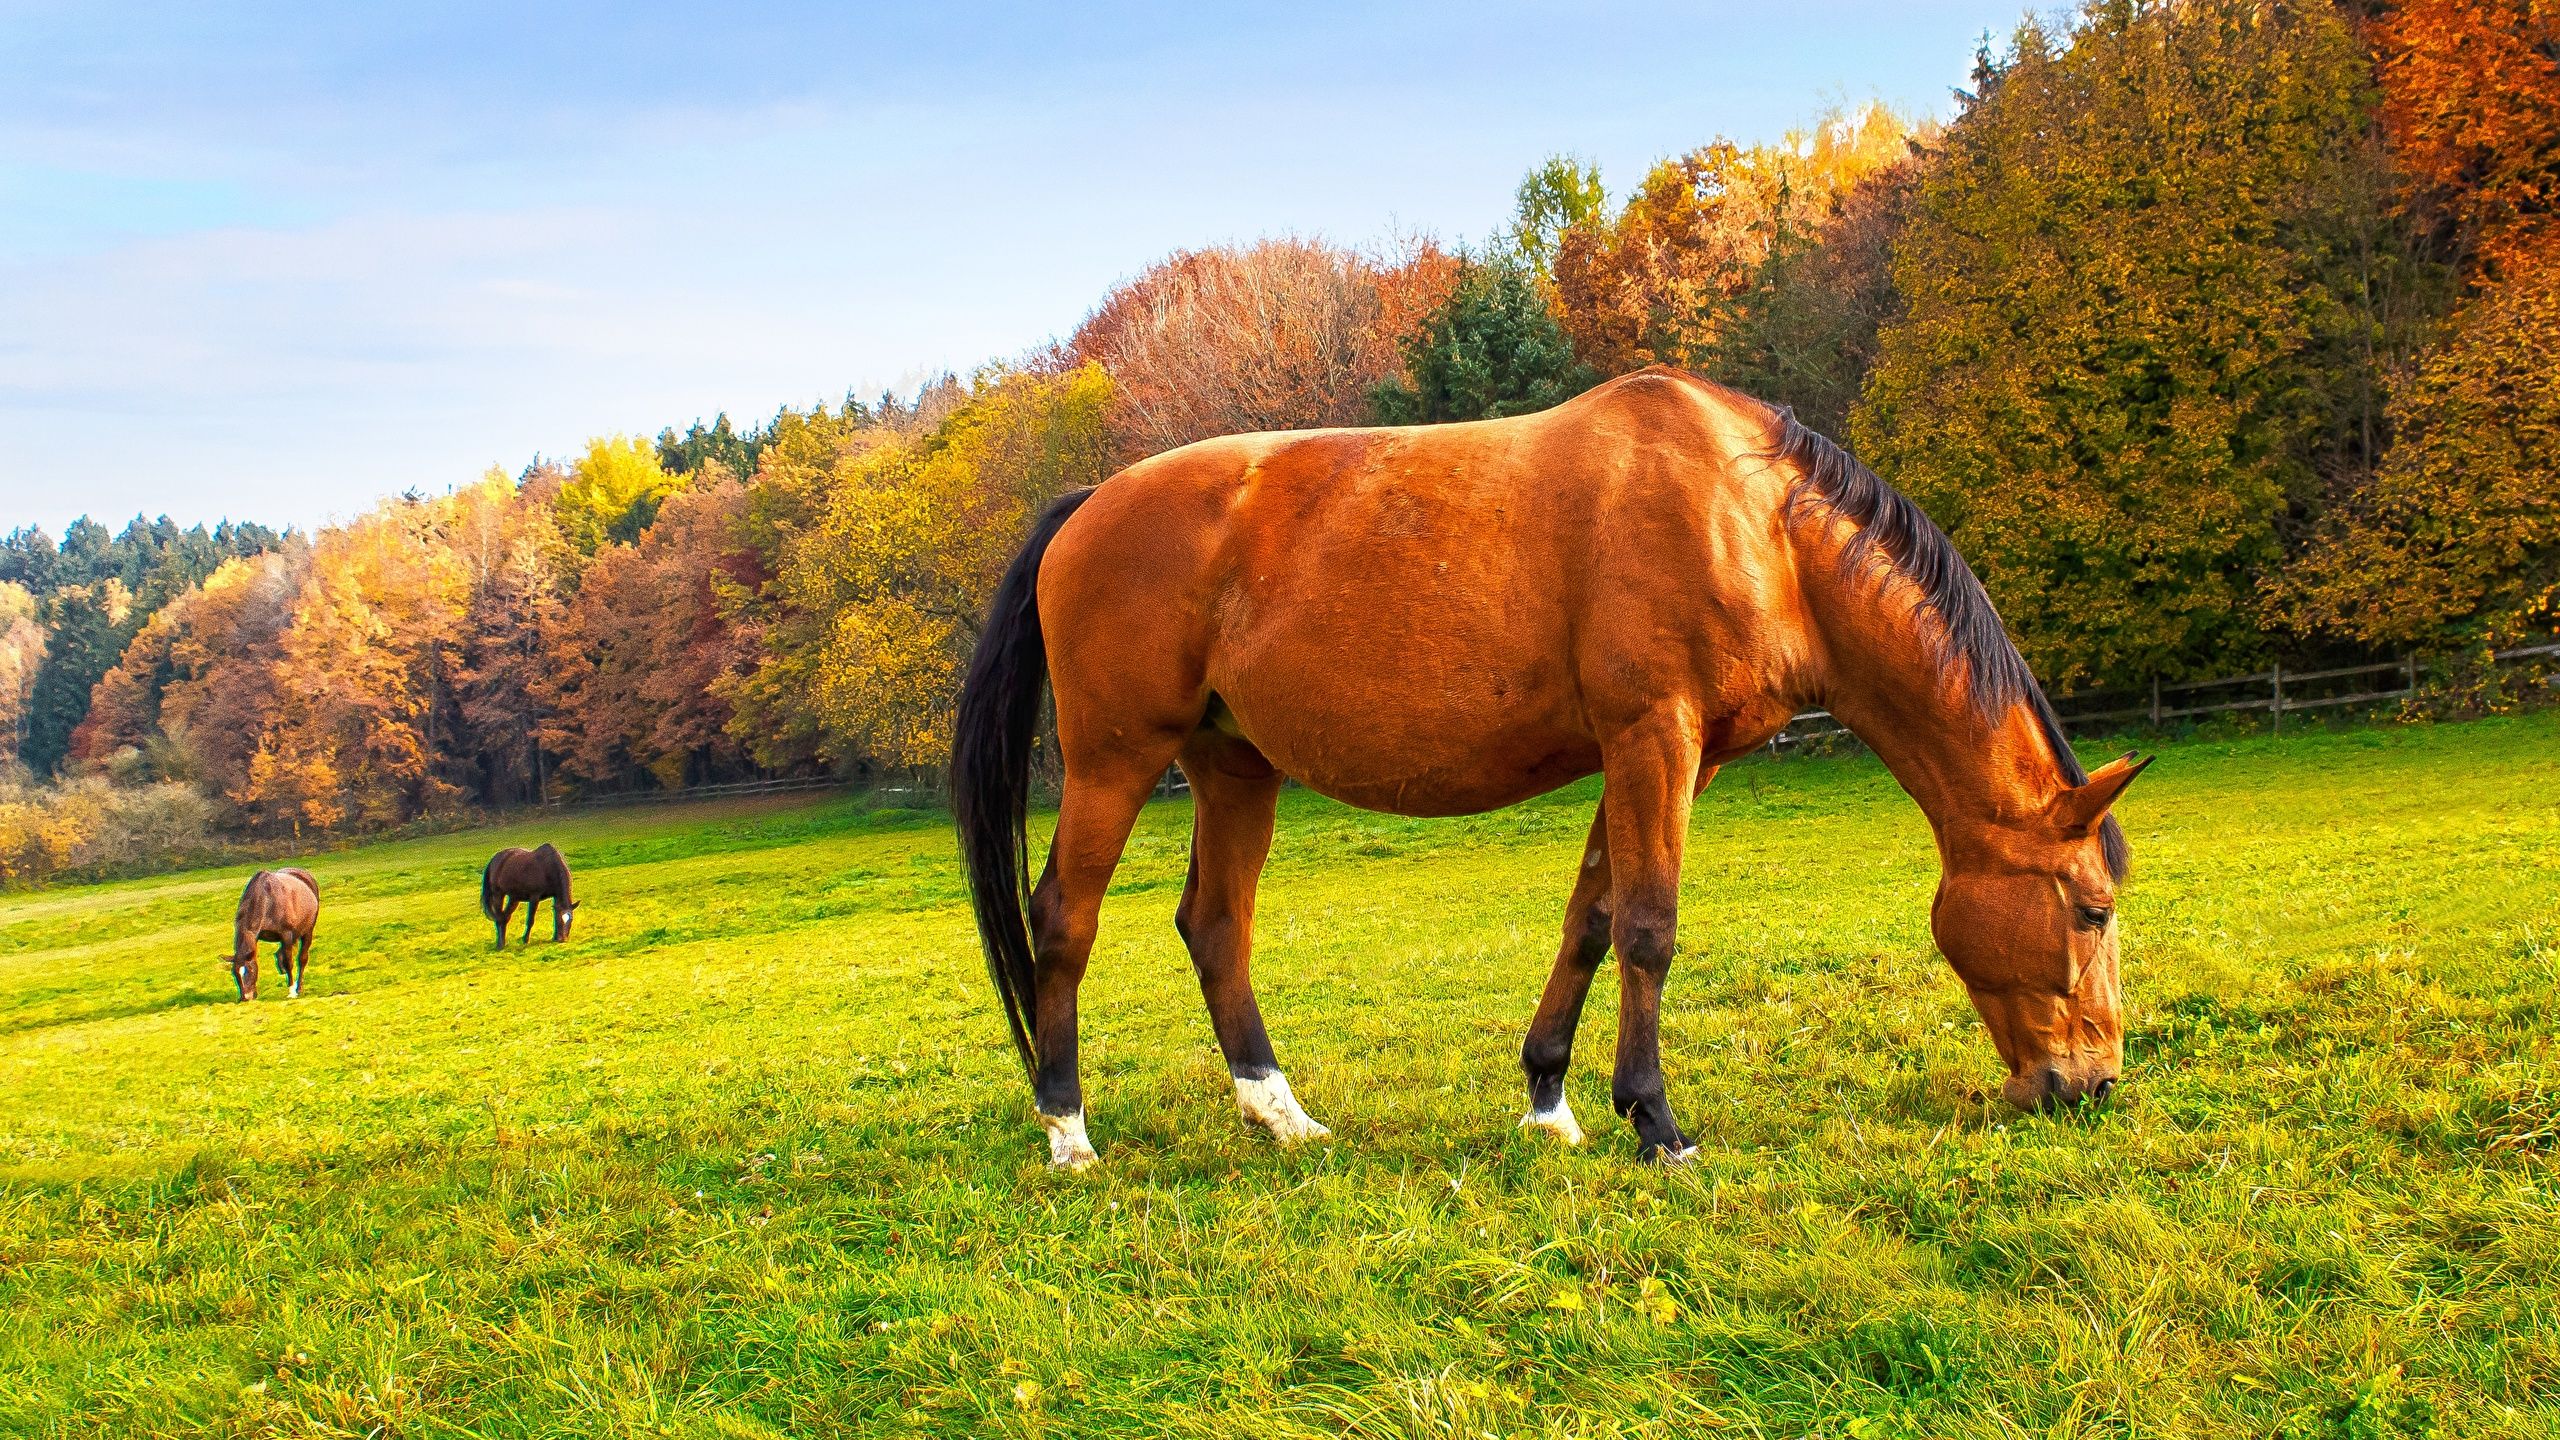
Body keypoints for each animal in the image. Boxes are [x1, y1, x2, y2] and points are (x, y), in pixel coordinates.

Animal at [225, 868, 318, 1001]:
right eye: (235, 973)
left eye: (249, 971)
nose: (245, 998)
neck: (267, 900)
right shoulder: (256, 936)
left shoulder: (286, 935)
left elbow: (289, 962)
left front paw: (291, 992)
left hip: (307, 932)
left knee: (302, 959)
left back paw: (299, 988)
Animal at [952, 367, 2151, 1169]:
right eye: (2090, 910)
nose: (2090, 1084)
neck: (1753, 520)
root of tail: (1087, 506)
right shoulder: (1652, 736)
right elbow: (1651, 927)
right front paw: (1657, 1122)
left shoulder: (1671, 757)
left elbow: (1593, 918)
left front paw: (1552, 1102)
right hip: (1115, 759)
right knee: (1065, 919)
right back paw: (1068, 1129)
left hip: (1233, 766)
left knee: (1214, 927)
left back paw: (1280, 1114)